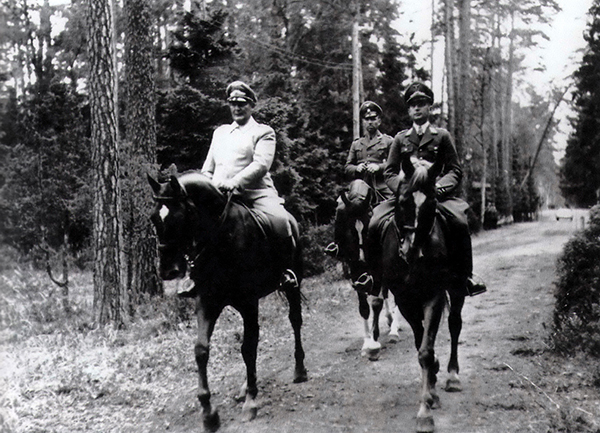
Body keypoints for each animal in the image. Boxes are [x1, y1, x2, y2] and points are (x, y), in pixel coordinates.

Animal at [148, 170, 308, 430]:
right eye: (154, 218)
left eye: (180, 216)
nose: (168, 270)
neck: (221, 237)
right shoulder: (207, 302)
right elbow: (201, 350)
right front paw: (208, 413)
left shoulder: (248, 302)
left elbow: (248, 348)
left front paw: (251, 402)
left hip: (293, 285)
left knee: (295, 321)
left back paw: (299, 370)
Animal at [380, 157, 464, 430]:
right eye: (402, 200)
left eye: (432, 202)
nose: (411, 249)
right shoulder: (406, 300)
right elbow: (421, 343)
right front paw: (431, 391)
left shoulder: (434, 296)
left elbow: (425, 351)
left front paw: (425, 410)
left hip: (457, 289)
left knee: (455, 324)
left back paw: (452, 376)